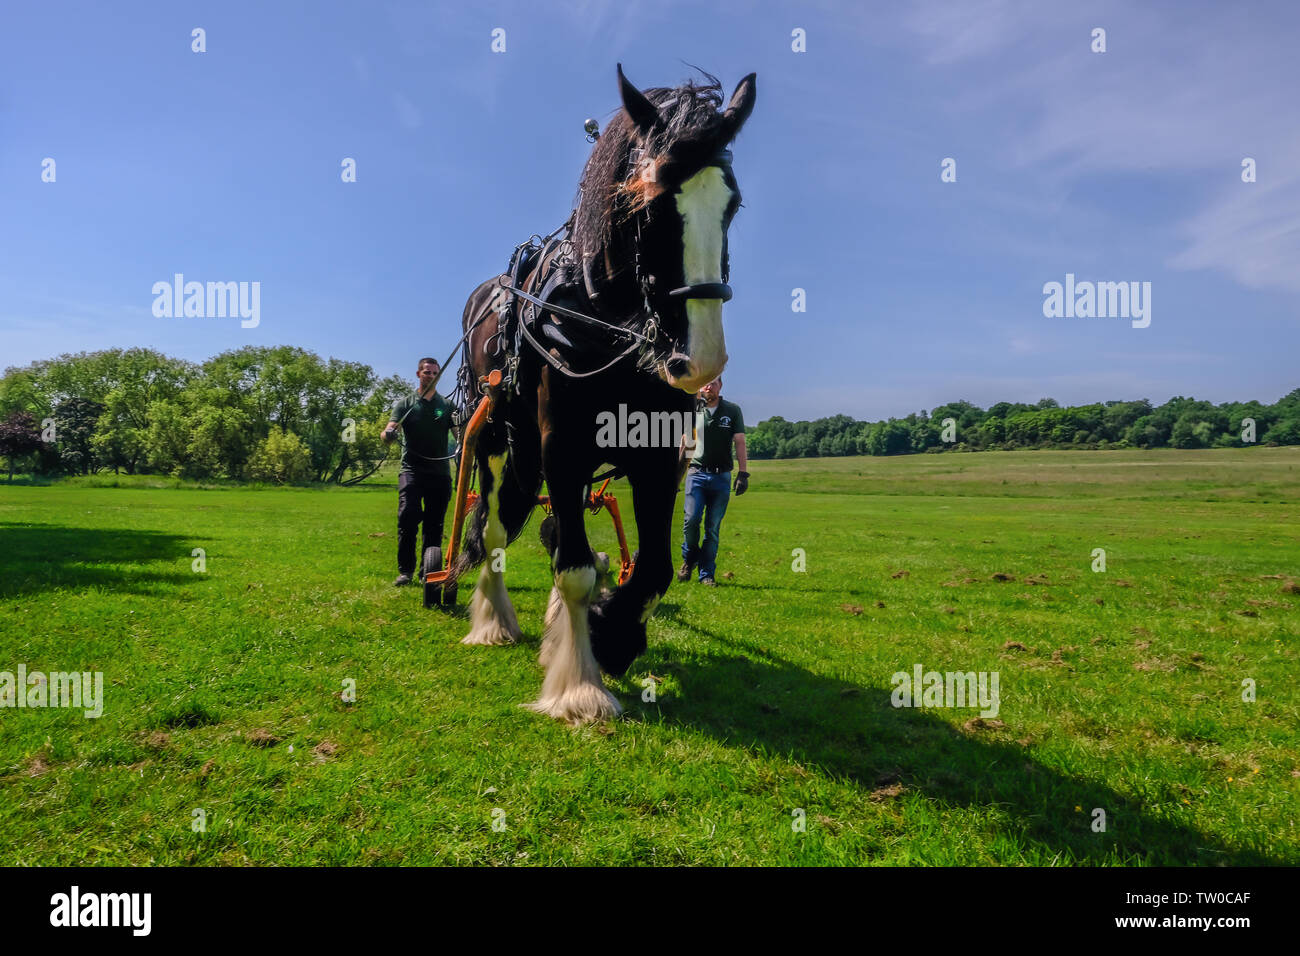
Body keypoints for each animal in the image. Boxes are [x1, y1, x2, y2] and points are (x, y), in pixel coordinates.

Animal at [451, 64, 756, 724]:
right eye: (649, 207)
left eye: (733, 203)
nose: (700, 359)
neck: (601, 317)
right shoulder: (561, 449)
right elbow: (571, 568)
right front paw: (580, 686)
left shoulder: (659, 457)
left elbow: (654, 568)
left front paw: (611, 633)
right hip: (498, 440)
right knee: (492, 531)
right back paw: (493, 620)